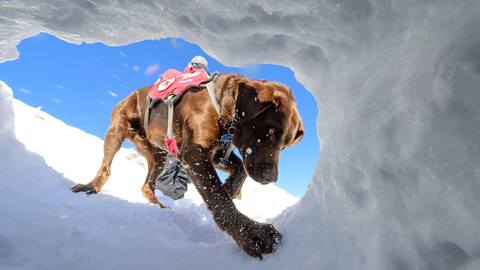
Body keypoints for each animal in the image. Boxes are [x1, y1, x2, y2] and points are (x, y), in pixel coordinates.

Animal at [71, 73, 304, 258]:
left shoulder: (217, 154)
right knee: (106, 168)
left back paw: (160, 208)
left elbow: (239, 172)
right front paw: (251, 233)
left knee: (147, 185)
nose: (270, 179)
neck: (221, 102)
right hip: (117, 130)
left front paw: (230, 189)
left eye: (285, 145)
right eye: (270, 131)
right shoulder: (195, 152)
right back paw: (90, 187)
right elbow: (217, 195)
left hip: (158, 155)